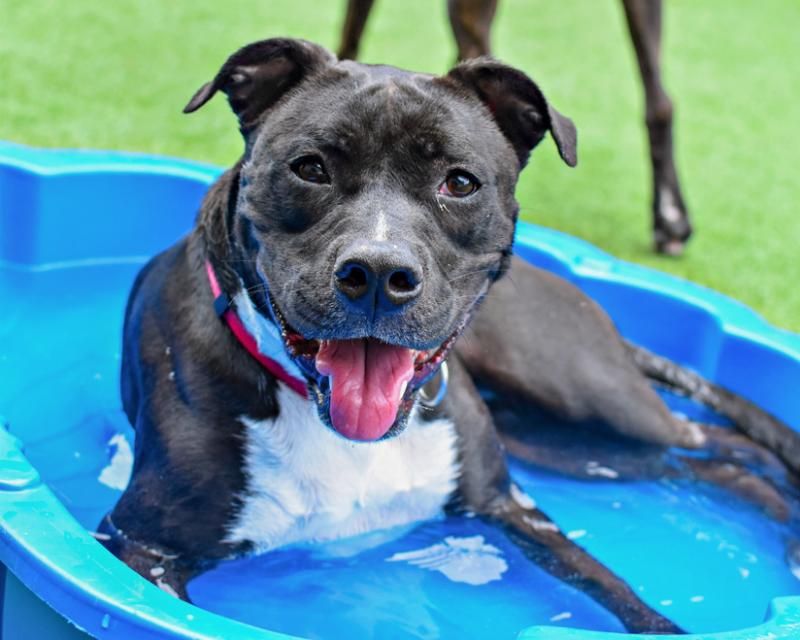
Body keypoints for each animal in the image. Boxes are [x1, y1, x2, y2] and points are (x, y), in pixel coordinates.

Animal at [101, 37, 800, 632]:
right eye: (310, 168)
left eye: (459, 182)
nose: (378, 274)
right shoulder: (143, 547)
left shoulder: (509, 504)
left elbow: (614, 587)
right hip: (574, 443)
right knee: (720, 460)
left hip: (587, 398)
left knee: (728, 443)